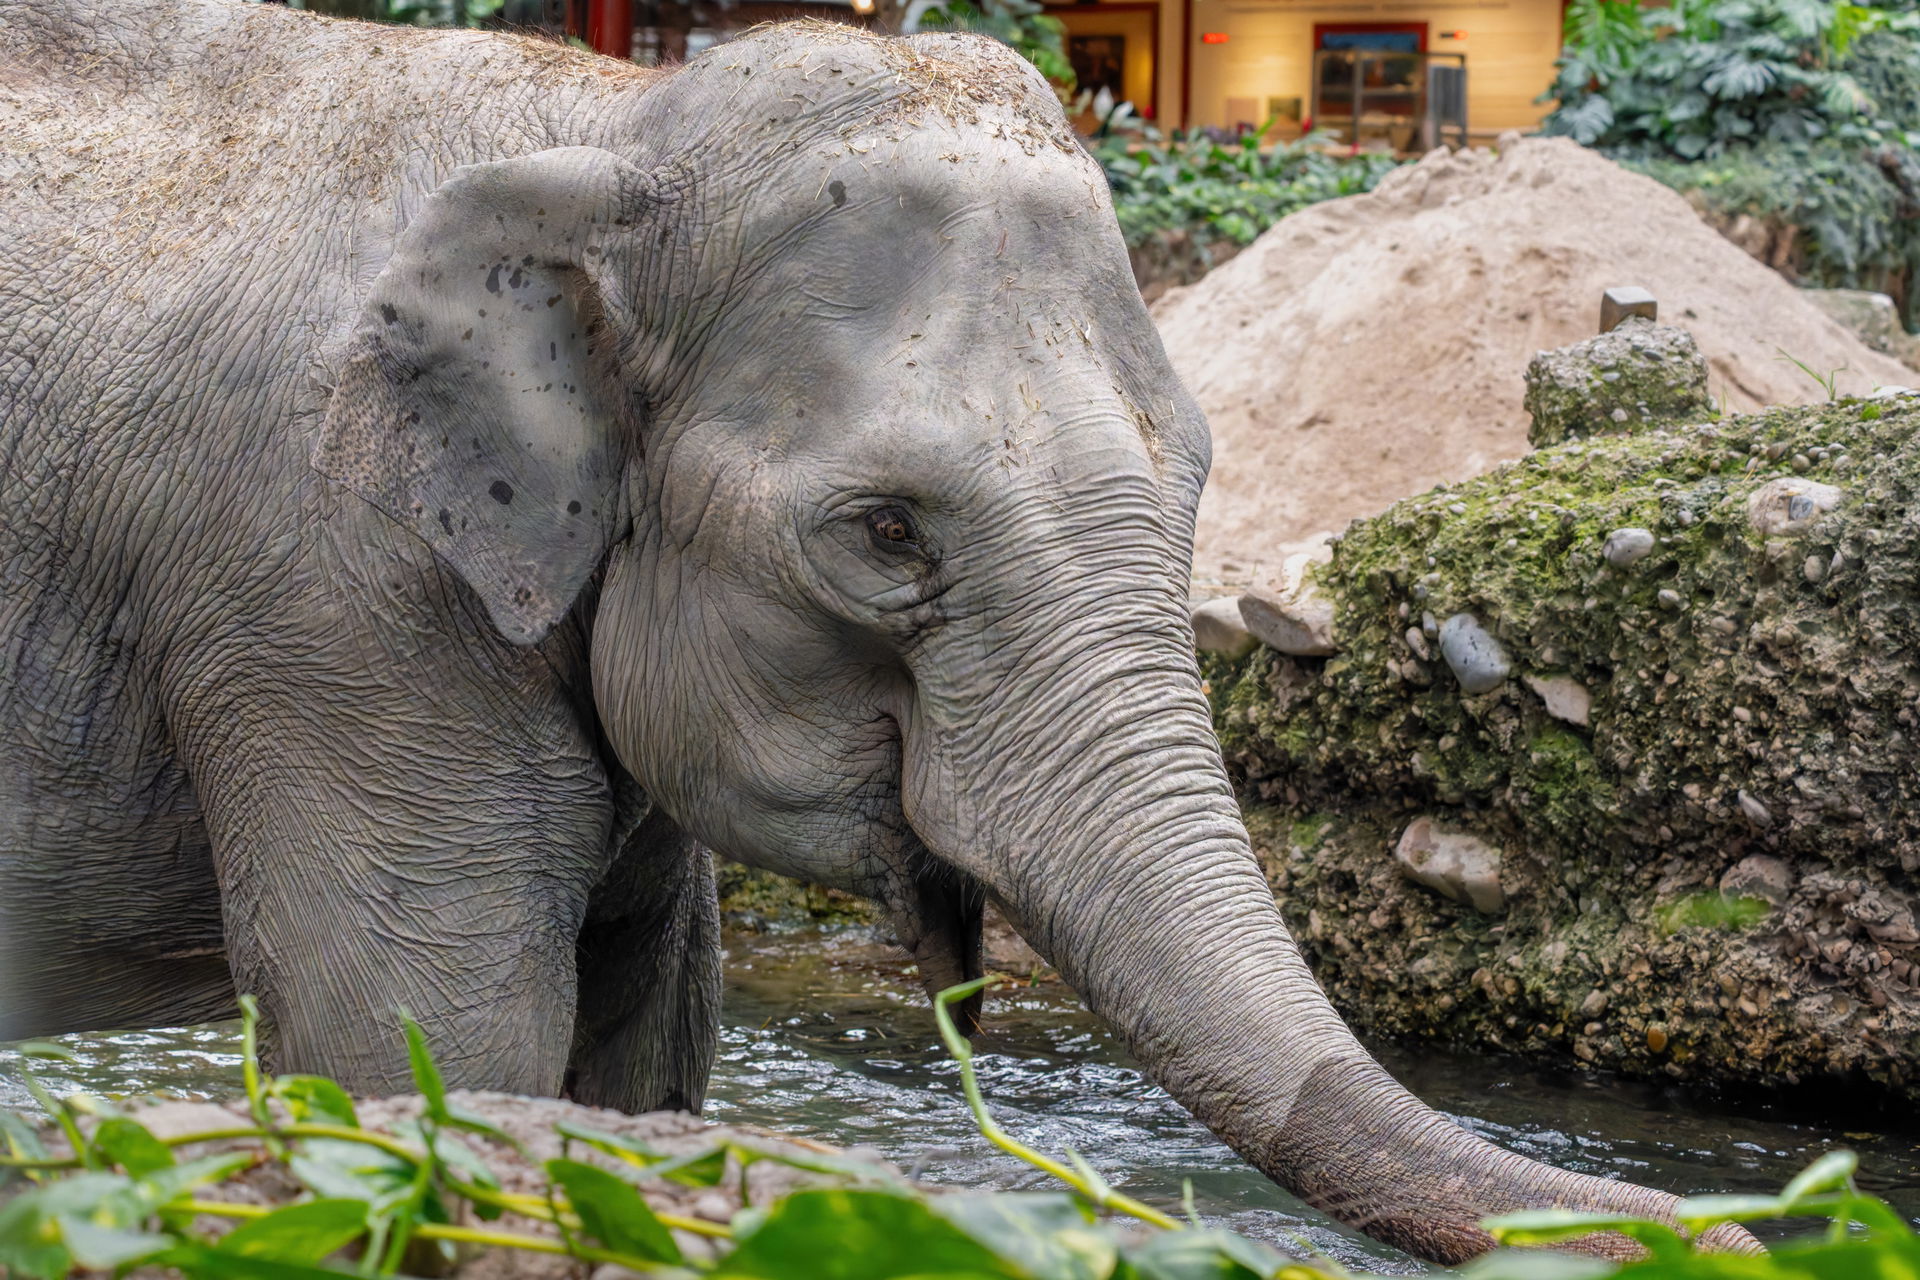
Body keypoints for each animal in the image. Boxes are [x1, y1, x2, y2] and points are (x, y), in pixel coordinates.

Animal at [0, 0, 1757, 1262]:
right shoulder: (322, 595)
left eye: (1198, 472)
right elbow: (427, 1053)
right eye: (888, 536)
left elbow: (641, 1053)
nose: (1752, 1233)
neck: (604, 123)